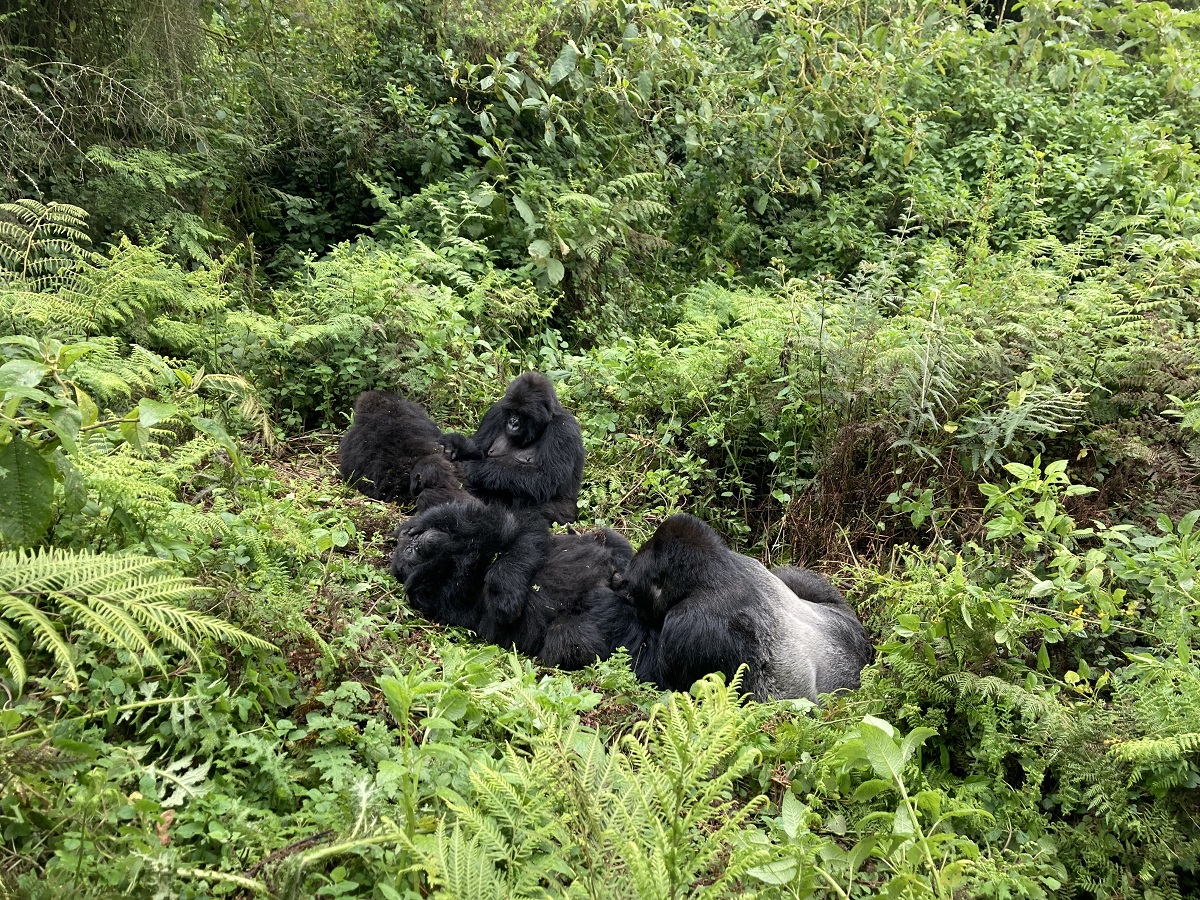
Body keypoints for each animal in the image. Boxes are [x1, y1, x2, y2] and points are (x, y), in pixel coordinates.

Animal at [391, 501, 638, 672]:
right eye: (409, 552)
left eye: (410, 542)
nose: (416, 544)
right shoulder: (439, 592)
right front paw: (505, 600)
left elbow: (517, 527)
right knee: (571, 639)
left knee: (608, 539)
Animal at [441, 374, 590, 528]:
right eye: (511, 412)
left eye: (521, 414)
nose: (512, 423)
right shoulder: (495, 412)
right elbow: (477, 447)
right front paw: (453, 444)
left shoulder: (563, 429)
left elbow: (547, 478)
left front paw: (474, 468)